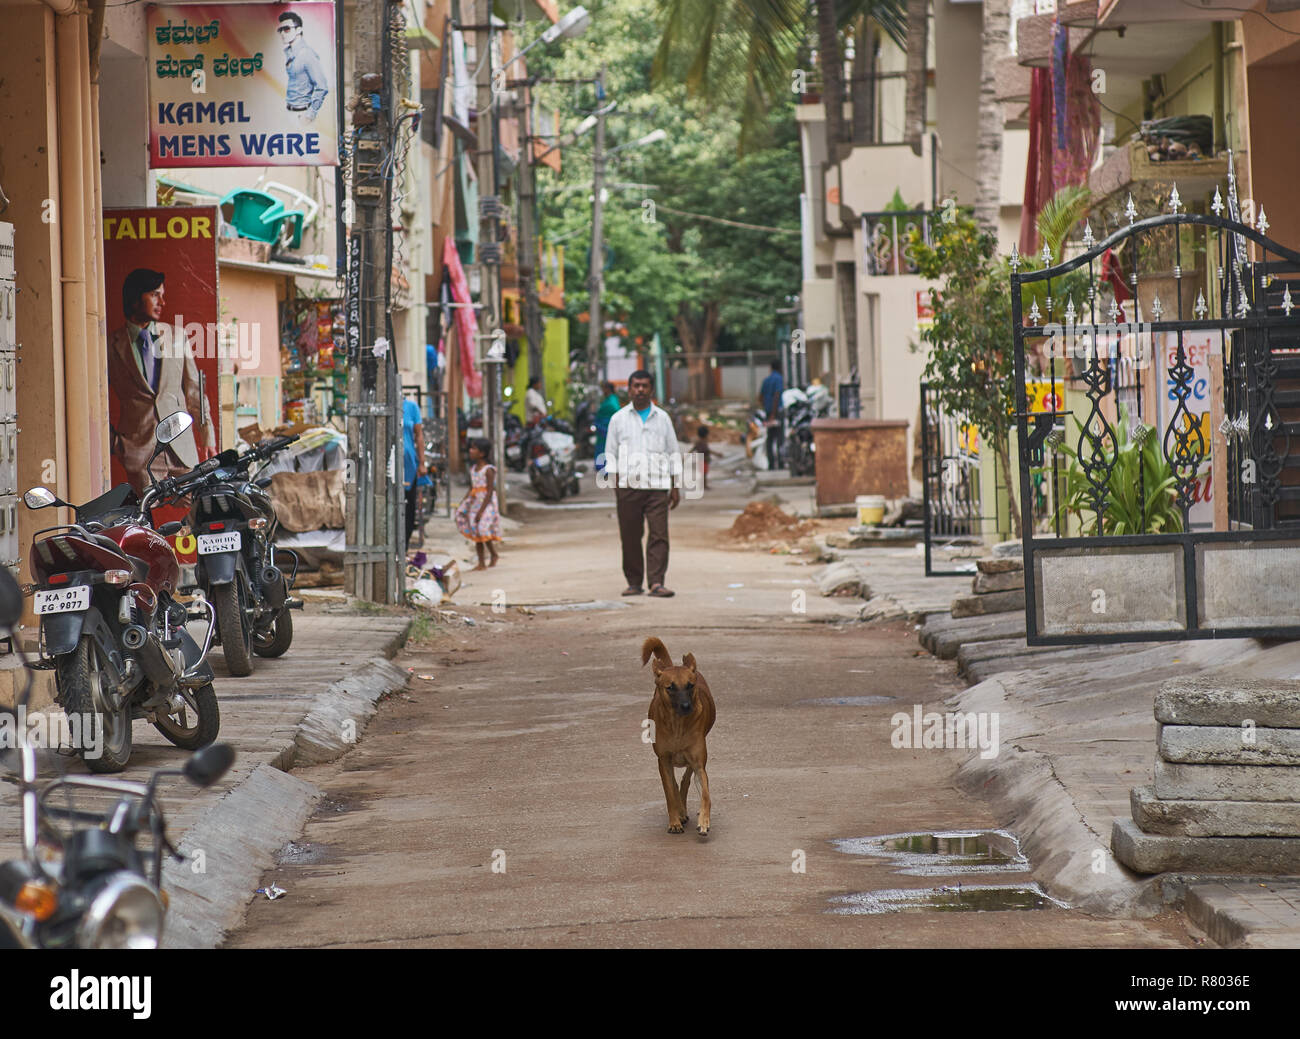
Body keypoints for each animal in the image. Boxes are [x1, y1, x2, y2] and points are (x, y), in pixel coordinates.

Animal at [642, 634, 717, 837]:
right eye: (670, 688)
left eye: (690, 685)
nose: (686, 706)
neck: (677, 725)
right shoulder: (663, 761)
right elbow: (669, 793)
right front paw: (675, 822)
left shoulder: (698, 762)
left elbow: (705, 794)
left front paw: (704, 822)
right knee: (676, 785)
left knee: (685, 779)